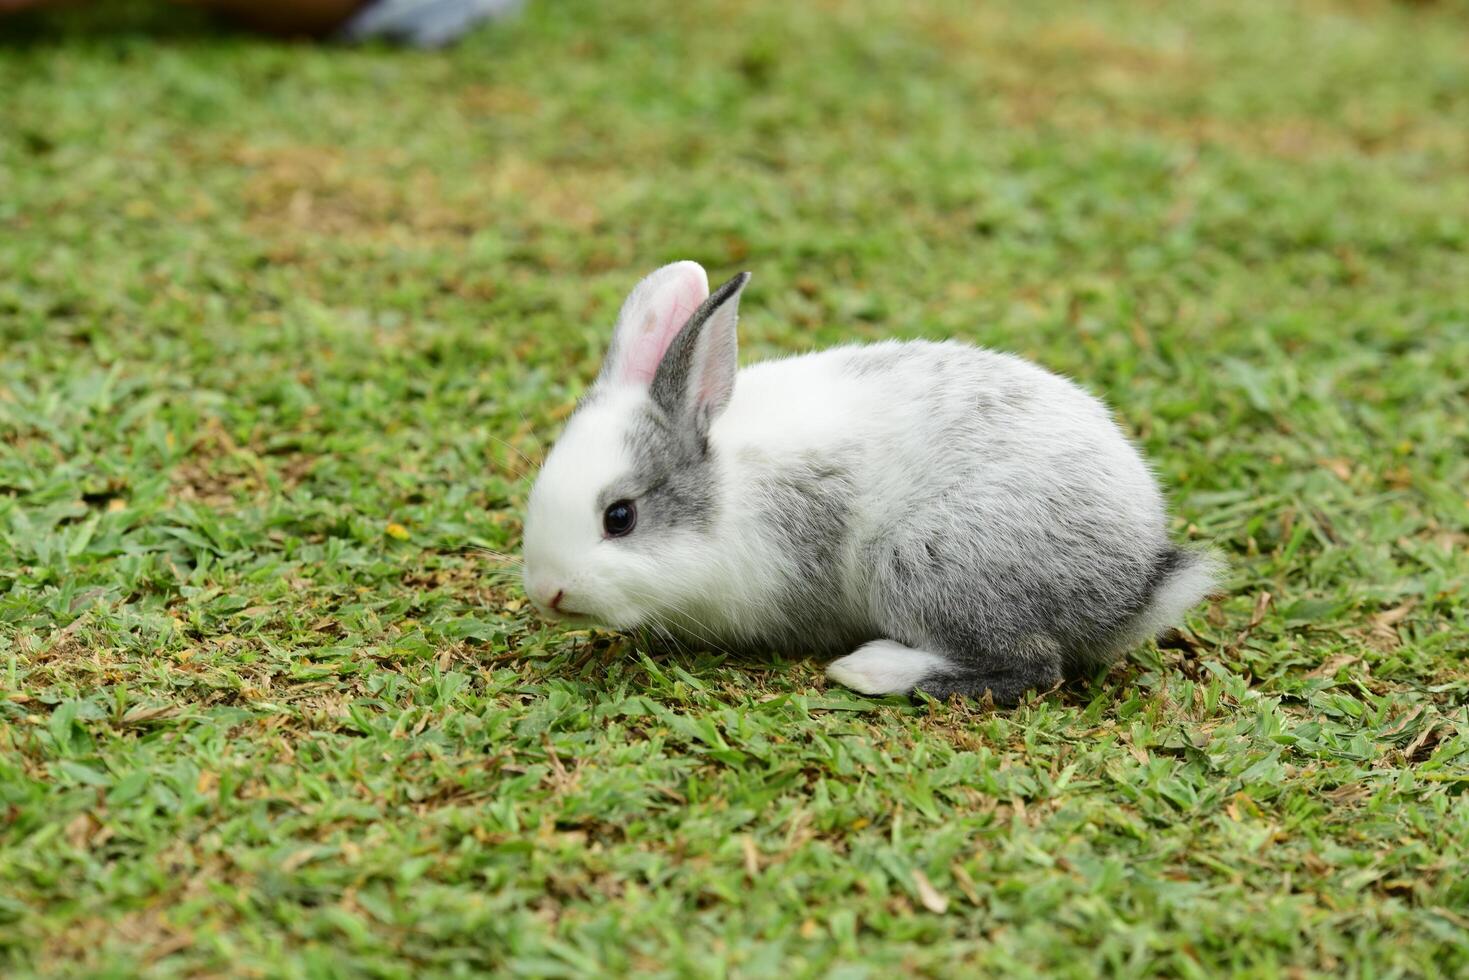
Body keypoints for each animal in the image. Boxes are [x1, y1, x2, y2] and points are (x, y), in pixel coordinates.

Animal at [522, 260, 1222, 705]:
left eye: (619, 517)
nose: (548, 593)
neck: (726, 487)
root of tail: (1135, 583)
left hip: (923, 562)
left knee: (1032, 665)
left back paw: (872, 670)